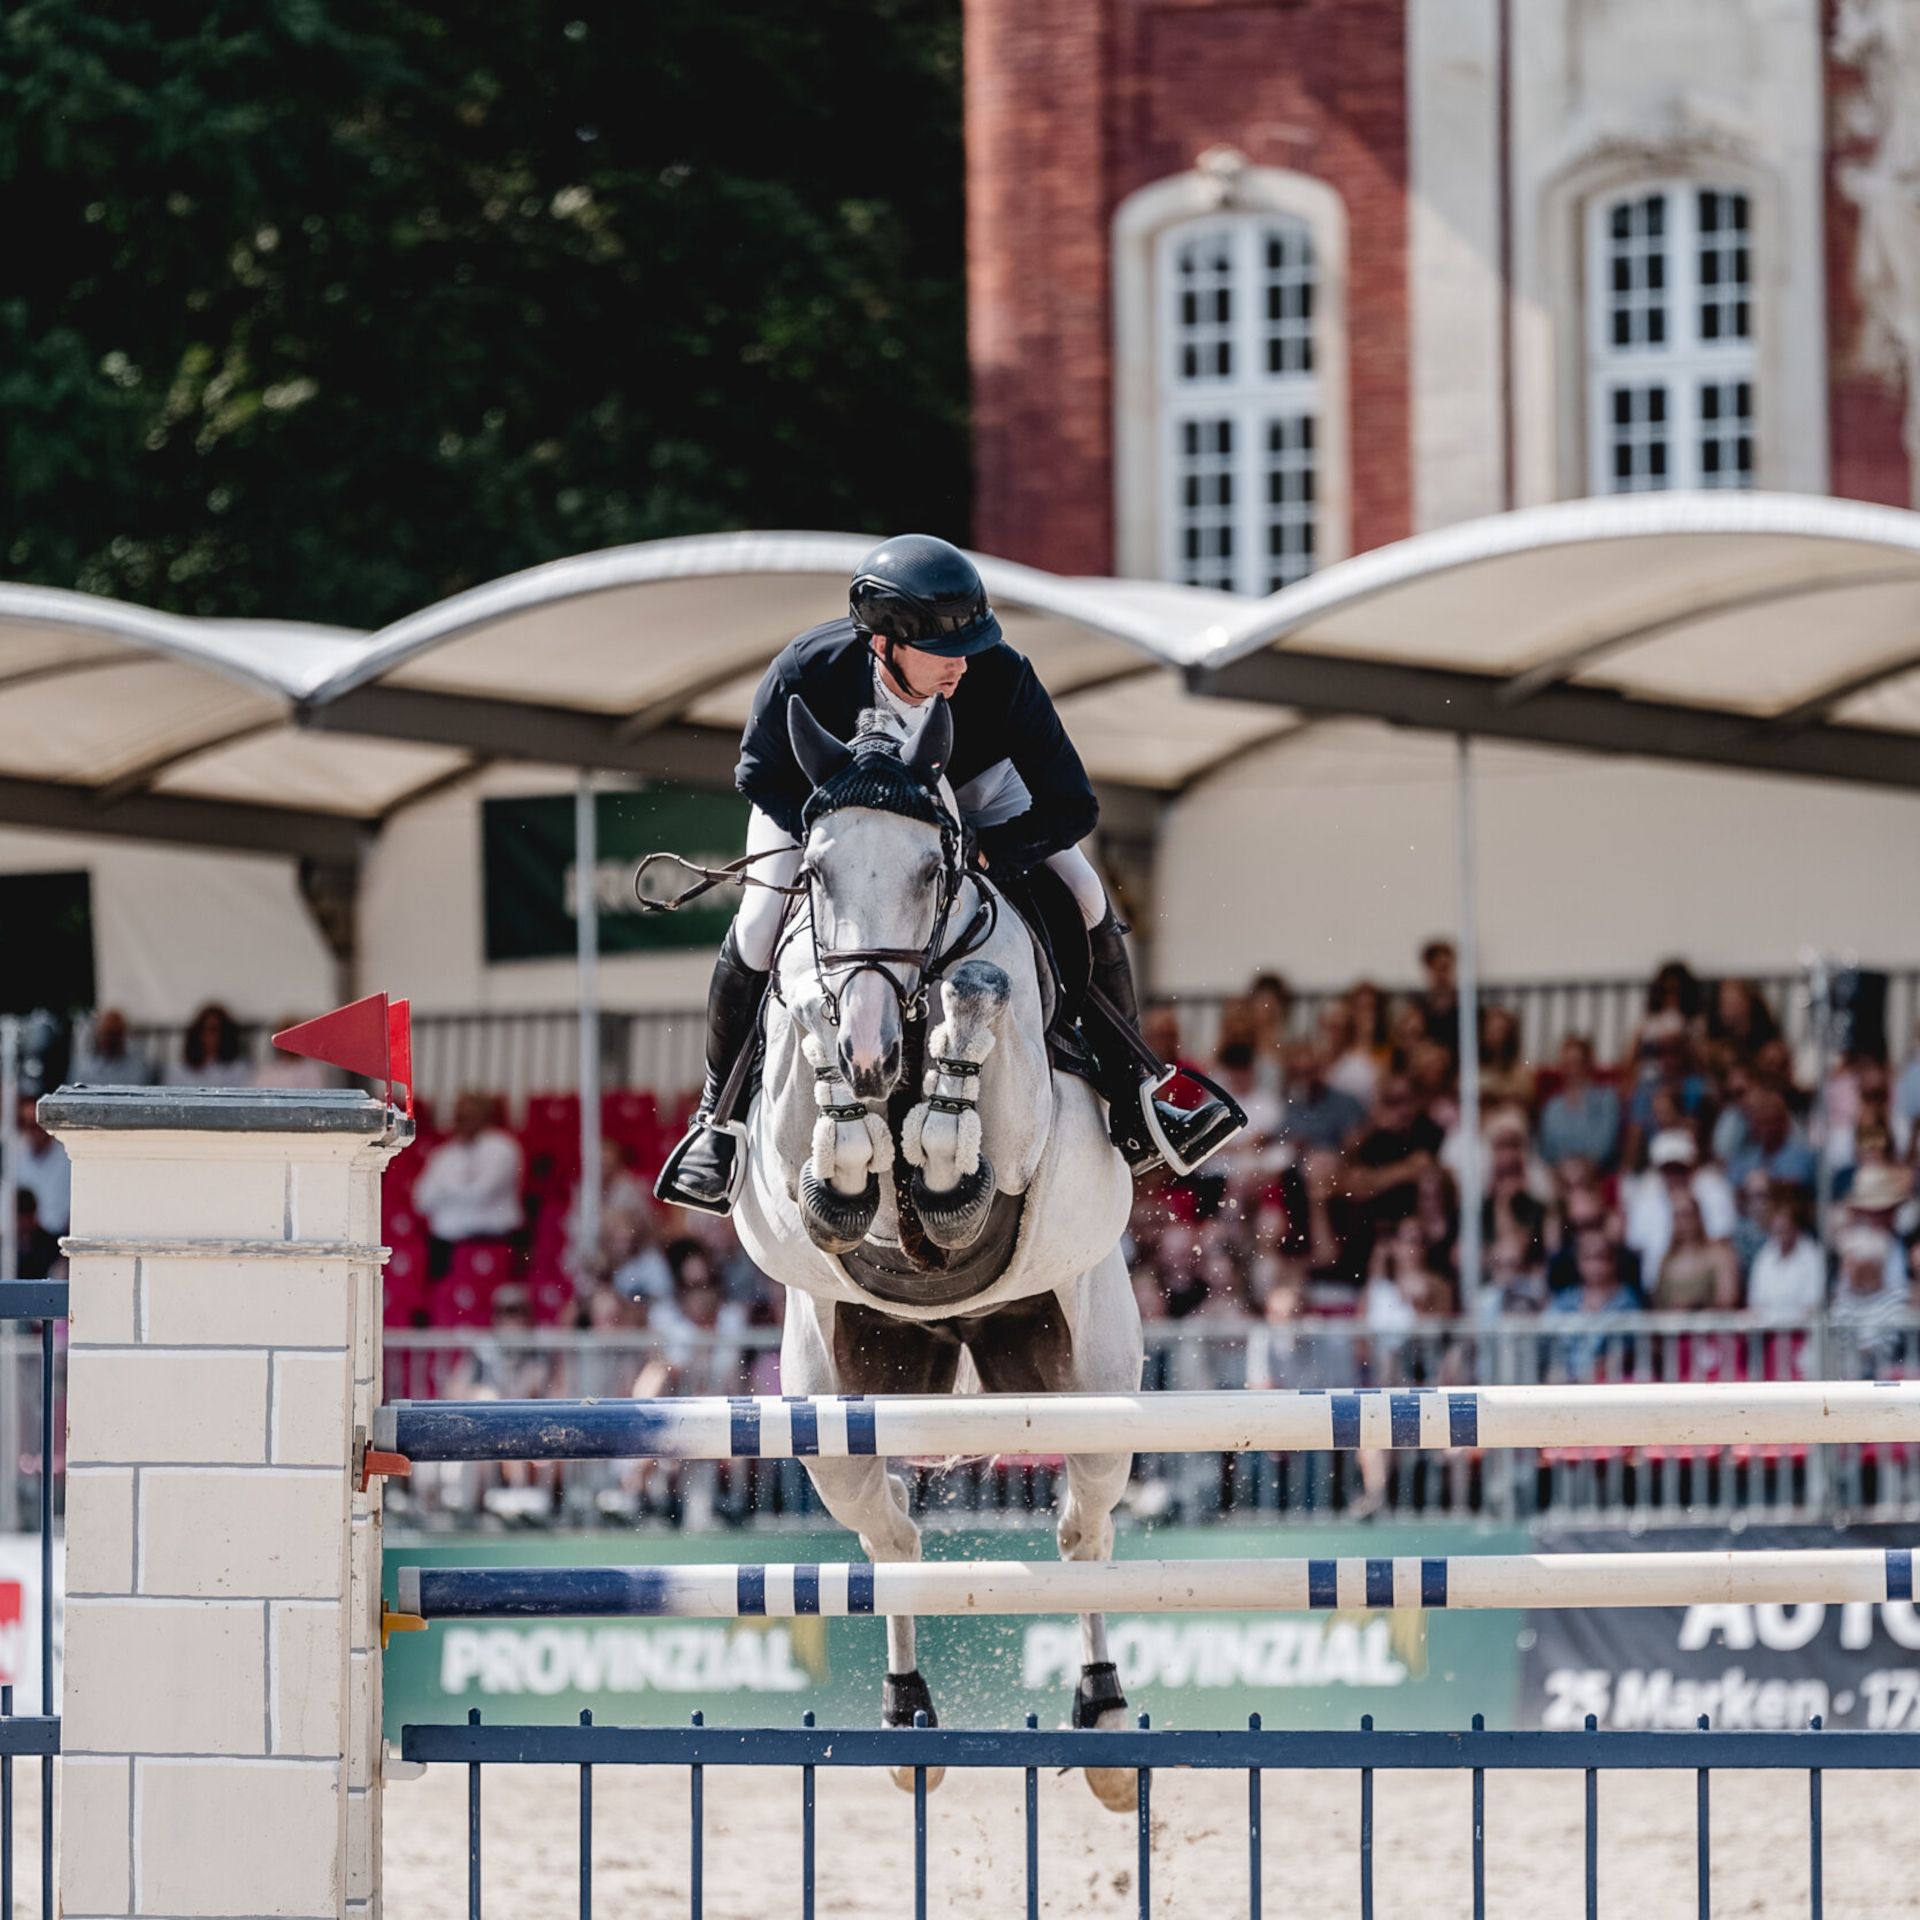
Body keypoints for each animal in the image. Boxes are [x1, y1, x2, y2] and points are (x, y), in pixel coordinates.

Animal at [729, 698, 1144, 1804]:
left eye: (930, 869)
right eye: (816, 871)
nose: (872, 1050)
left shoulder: (1027, 1132)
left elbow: (967, 1118)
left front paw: (950, 1072)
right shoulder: (785, 1157)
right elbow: (829, 1158)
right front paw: (840, 1086)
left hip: (1094, 1390)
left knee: (1084, 1533)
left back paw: (1105, 1719)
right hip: (835, 1405)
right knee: (894, 1539)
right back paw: (908, 1717)